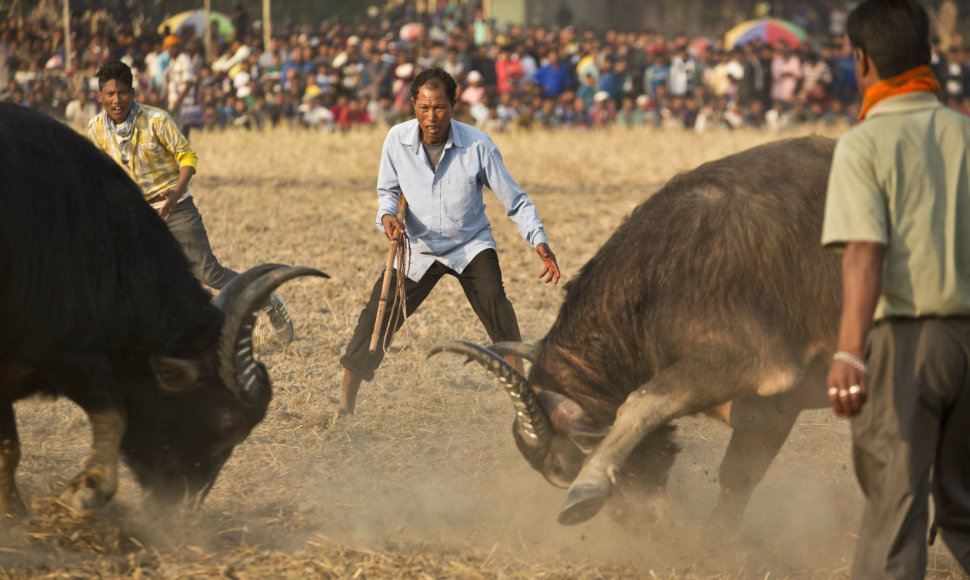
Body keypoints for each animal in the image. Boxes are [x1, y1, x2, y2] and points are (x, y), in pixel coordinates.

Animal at [0, 102, 328, 516]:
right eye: (229, 425)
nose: (182, 504)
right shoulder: (68, 350)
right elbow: (112, 415)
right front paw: (83, 491)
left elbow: (15, 446)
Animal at [432, 136, 840, 524]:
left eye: (566, 463)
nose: (642, 524)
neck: (660, 272)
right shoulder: (772, 410)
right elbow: (738, 477)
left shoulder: (755, 358)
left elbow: (643, 400)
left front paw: (587, 488)